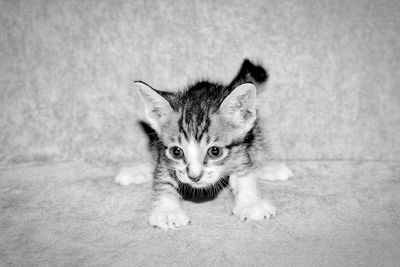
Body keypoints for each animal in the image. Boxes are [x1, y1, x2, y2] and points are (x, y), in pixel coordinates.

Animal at [114, 59, 292, 230]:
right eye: (176, 152)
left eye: (215, 151)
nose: (194, 176)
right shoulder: (164, 156)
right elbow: (163, 178)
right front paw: (167, 211)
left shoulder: (240, 149)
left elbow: (244, 174)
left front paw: (251, 203)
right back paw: (137, 171)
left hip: (253, 132)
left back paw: (268, 167)